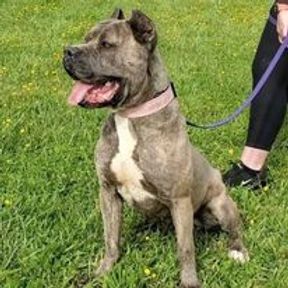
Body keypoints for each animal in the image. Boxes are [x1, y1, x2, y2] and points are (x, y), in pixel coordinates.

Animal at [64, 9, 249, 288]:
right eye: (86, 38)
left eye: (106, 44)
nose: (67, 51)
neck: (130, 115)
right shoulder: (107, 191)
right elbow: (111, 237)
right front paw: (103, 272)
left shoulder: (179, 199)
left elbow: (185, 249)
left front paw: (189, 282)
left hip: (220, 203)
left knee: (233, 229)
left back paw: (238, 251)